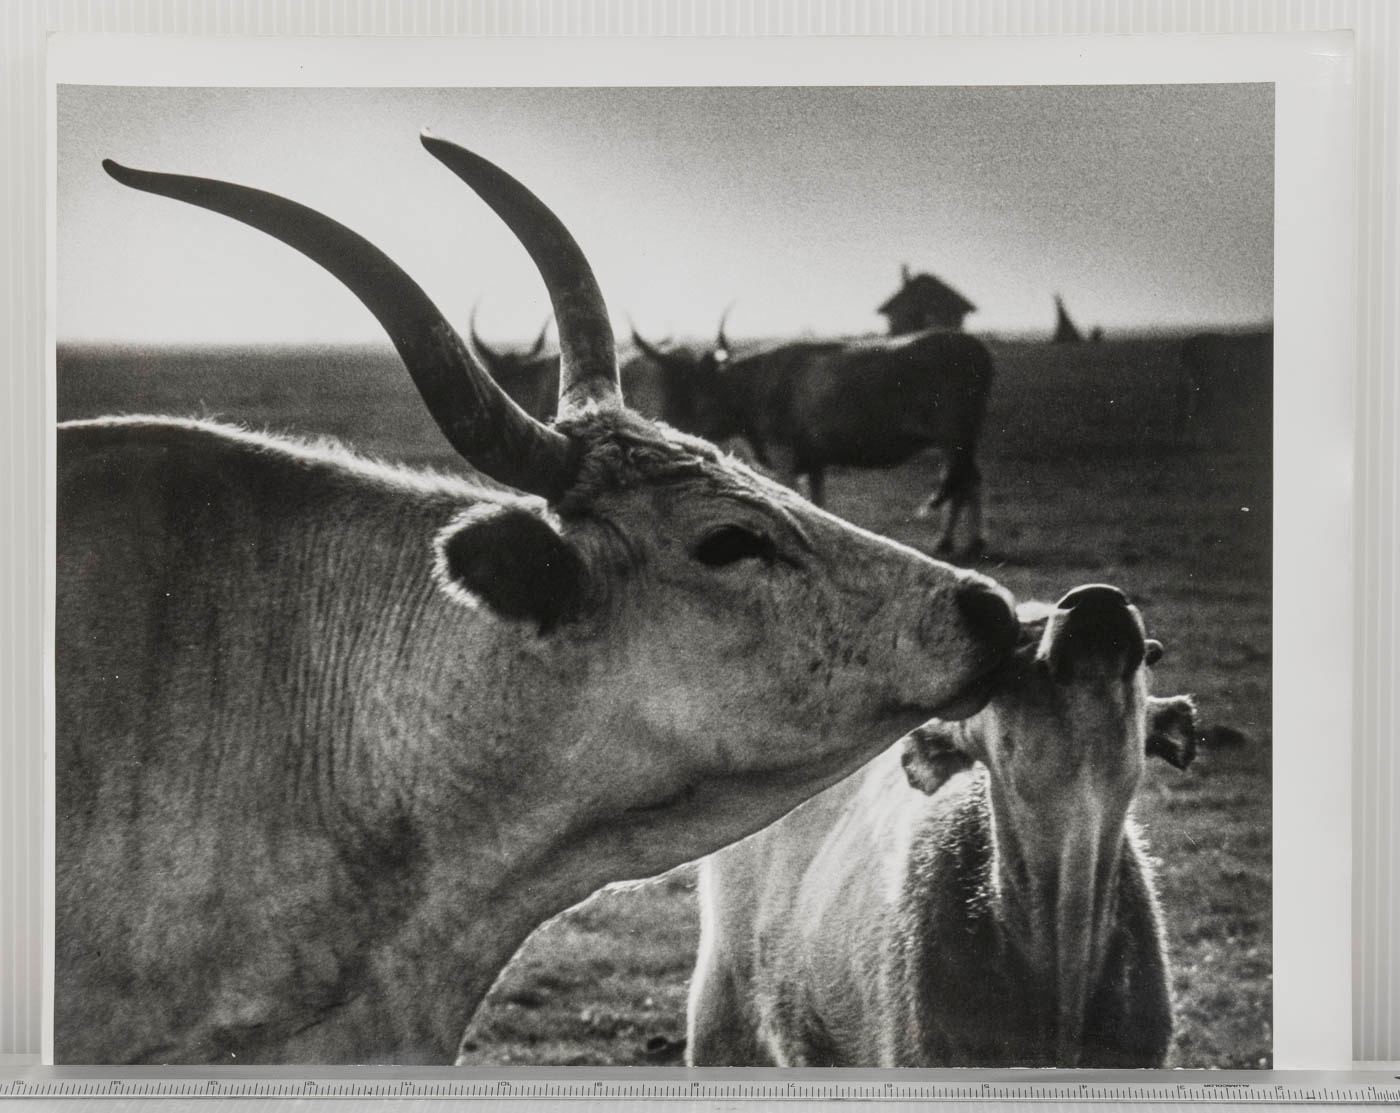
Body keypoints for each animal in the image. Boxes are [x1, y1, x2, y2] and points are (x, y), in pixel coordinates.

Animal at [629, 322, 994, 557]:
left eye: (694, 390)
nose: (673, 424)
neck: (755, 384)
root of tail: (973, 345)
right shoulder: (814, 458)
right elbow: (816, 502)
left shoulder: (784, 454)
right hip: (963, 440)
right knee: (969, 480)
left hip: (954, 436)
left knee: (964, 482)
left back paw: (953, 543)